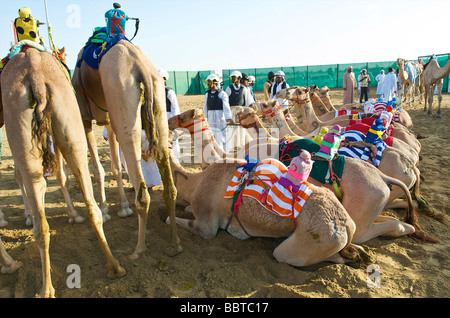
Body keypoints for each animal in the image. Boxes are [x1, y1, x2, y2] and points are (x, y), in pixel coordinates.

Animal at [0, 48, 125, 296]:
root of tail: (35, 74)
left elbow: (56, 177)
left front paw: (68, 214)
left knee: (36, 190)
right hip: (69, 128)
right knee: (88, 204)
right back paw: (113, 267)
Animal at [72, 38, 181, 260]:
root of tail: (140, 66)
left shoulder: (85, 119)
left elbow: (97, 169)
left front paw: (105, 211)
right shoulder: (108, 121)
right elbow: (115, 167)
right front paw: (122, 209)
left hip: (123, 104)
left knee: (143, 195)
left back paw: (138, 250)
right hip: (155, 105)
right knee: (170, 189)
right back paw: (175, 244)